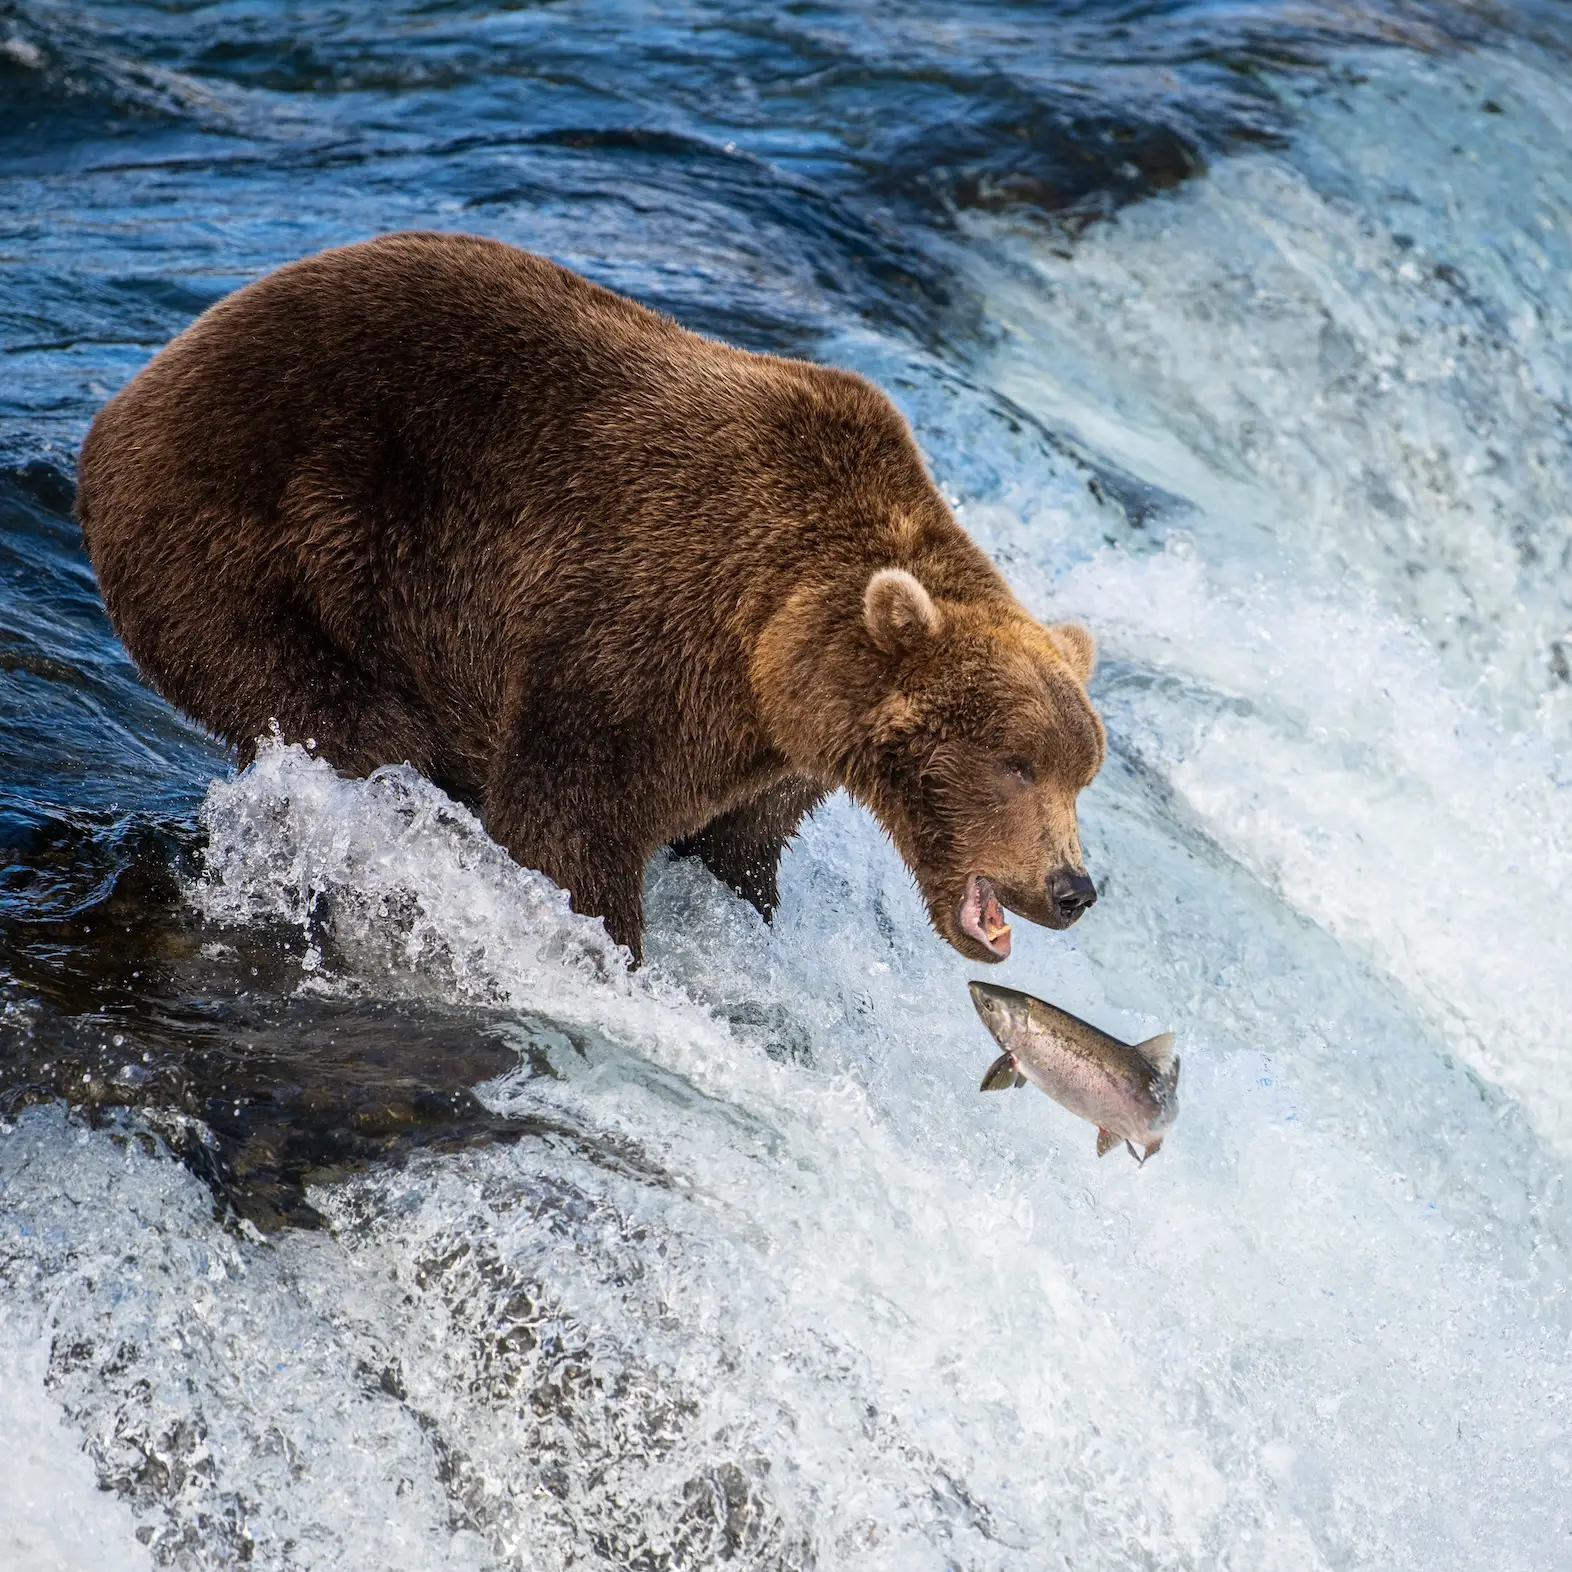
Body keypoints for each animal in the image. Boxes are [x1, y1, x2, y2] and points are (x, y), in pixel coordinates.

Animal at [73, 232, 1106, 962]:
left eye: (1080, 771)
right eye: (1015, 762)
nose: (1073, 888)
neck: (774, 658)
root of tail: (129, 395)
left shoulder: (772, 760)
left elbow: (740, 848)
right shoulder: (638, 639)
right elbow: (567, 824)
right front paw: (605, 944)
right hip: (248, 541)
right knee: (348, 720)